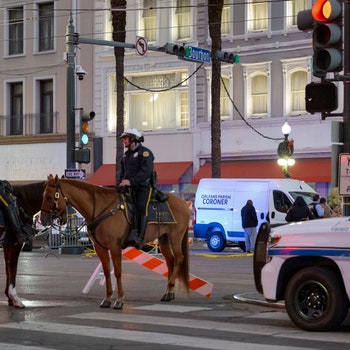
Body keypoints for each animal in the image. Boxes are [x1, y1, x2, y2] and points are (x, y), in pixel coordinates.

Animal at [40, 175, 191, 308]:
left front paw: (119, 300)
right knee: (170, 260)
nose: (42, 220)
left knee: (179, 258)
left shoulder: (115, 247)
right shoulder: (100, 248)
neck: (101, 209)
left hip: (175, 237)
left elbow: (117, 272)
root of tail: (183, 203)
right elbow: (107, 272)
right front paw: (107, 298)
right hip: (164, 238)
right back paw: (169, 292)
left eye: (49, 196)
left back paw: (170, 288)